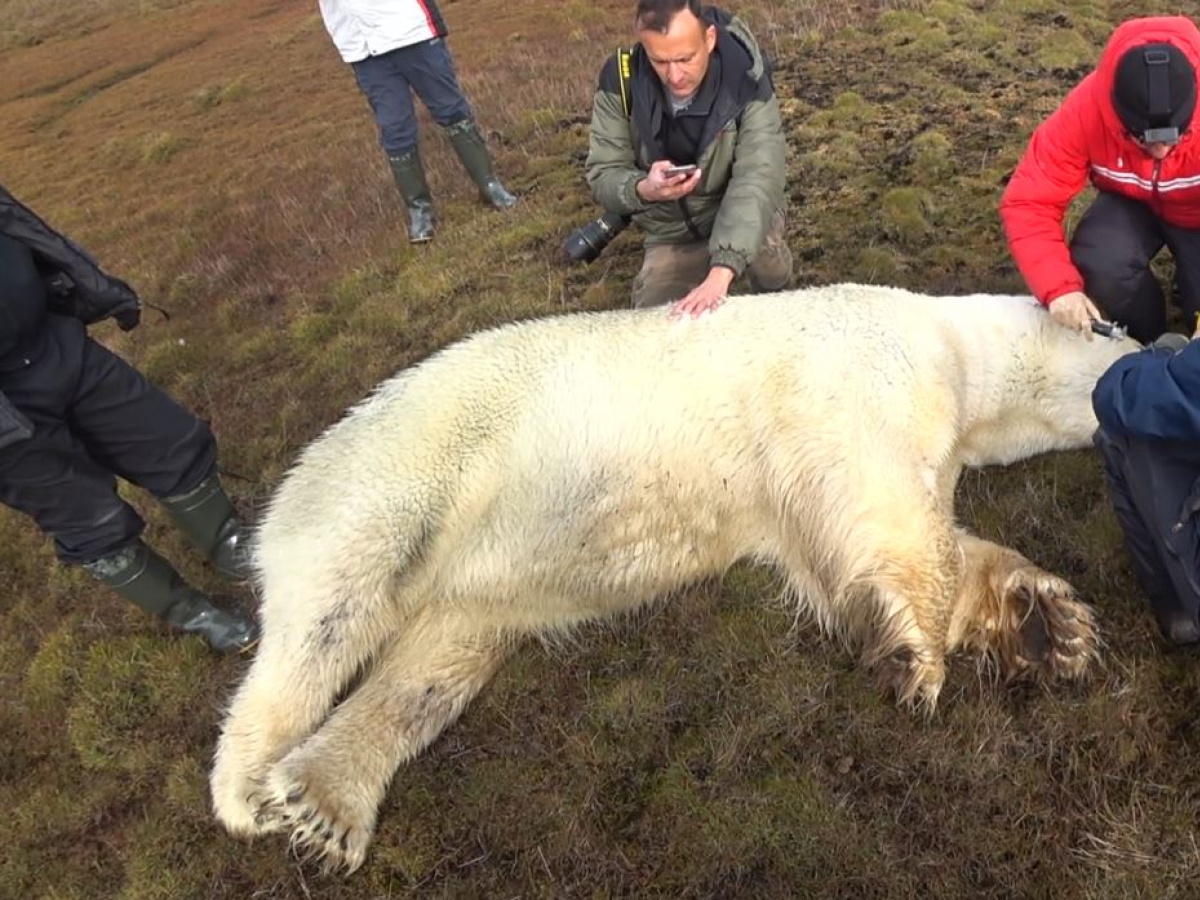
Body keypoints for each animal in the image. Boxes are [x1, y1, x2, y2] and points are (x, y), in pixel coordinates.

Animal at [211, 283, 1137, 873]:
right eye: (1124, 336)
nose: (1162, 344)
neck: (949, 345)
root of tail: (303, 467)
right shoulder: (858, 376)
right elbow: (888, 506)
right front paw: (921, 663)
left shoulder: (815, 489)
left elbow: (876, 539)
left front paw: (1050, 627)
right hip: (404, 477)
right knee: (326, 618)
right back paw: (250, 791)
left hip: (470, 592)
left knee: (433, 669)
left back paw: (323, 804)